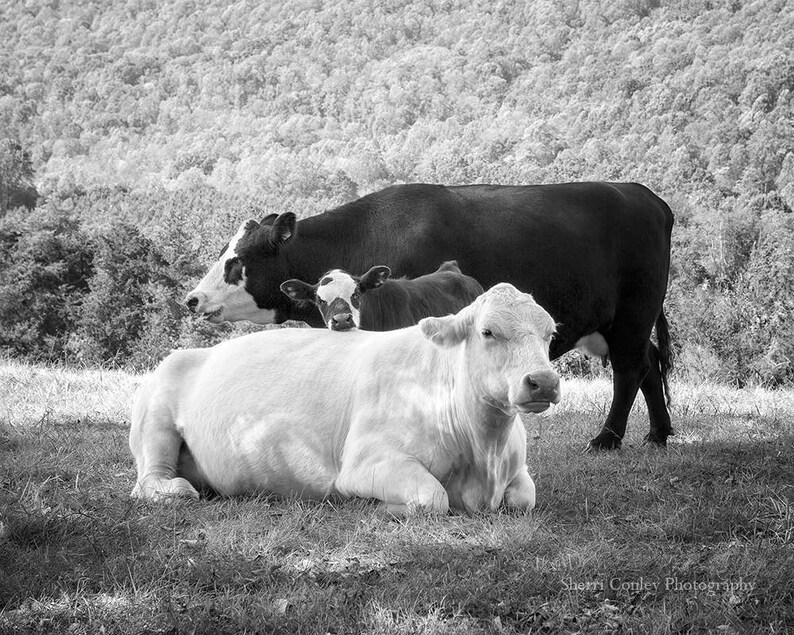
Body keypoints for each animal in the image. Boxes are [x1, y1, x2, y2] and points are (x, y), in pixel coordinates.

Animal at [130, 286, 560, 516]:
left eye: (550, 333)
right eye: (488, 331)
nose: (543, 382)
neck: (484, 454)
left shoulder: (517, 473)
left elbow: (524, 498)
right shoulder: (366, 463)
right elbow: (432, 498)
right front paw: (382, 507)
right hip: (155, 421)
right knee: (150, 482)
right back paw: (176, 488)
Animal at [186, 184, 676, 452]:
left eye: (236, 260)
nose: (192, 298)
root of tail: (643, 194)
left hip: (631, 315)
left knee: (630, 370)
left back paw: (607, 439)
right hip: (623, 324)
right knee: (650, 363)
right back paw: (658, 434)